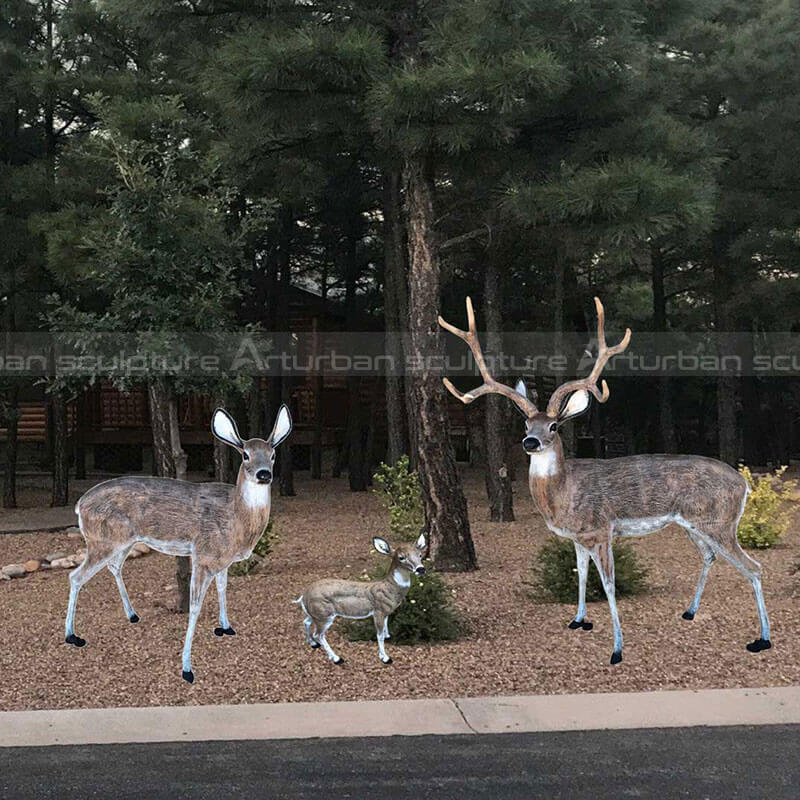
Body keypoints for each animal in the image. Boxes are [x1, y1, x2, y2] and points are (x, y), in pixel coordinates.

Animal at [65, 405, 292, 683]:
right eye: (245, 455)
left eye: (273, 454)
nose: (264, 474)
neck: (236, 519)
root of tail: (79, 505)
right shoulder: (204, 554)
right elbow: (195, 606)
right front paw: (187, 668)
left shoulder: (223, 560)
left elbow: (223, 589)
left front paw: (226, 627)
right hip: (101, 539)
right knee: (76, 576)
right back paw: (72, 636)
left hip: (124, 541)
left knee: (114, 567)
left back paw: (133, 615)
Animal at [294, 534, 427, 665]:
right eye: (401, 557)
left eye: (420, 555)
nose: (421, 569)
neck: (390, 588)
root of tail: (304, 596)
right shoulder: (378, 611)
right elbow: (379, 635)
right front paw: (385, 658)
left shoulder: (386, 612)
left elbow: (385, 631)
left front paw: (388, 640)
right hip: (324, 613)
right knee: (319, 634)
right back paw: (337, 658)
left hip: (315, 613)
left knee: (306, 622)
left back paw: (313, 644)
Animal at [439, 297, 771, 665]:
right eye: (526, 424)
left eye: (553, 426)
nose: (530, 442)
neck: (563, 494)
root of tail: (744, 484)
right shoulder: (577, 538)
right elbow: (581, 575)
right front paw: (578, 620)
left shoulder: (601, 530)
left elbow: (609, 584)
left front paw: (616, 649)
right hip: (694, 525)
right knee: (710, 556)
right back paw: (689, 612)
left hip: (719, 521)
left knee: (755, 567)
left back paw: (762, 639)